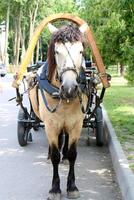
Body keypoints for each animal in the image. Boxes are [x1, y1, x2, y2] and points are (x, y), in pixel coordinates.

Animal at [28, 24, 88, 199]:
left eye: (81, 51)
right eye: (56, 51)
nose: (69, 88)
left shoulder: (76, 125)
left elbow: (73, 153)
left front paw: (72, 186)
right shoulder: (51, 125)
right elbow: (55, 155)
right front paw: (55, 188)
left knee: (65, 138)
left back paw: (65, 156)